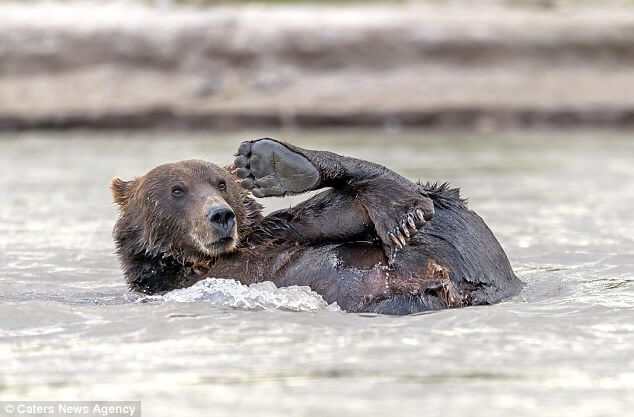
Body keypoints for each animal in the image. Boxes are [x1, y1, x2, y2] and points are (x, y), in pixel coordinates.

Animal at [111, 138, 520, 314]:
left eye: (220, 183)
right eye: (177, 190)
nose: (221, 215)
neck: (198, 261)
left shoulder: (268, 235)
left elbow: (322, 218)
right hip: (450, 261)